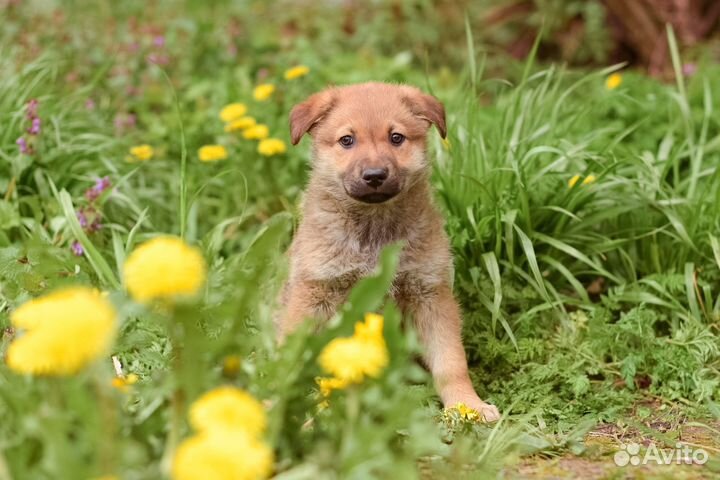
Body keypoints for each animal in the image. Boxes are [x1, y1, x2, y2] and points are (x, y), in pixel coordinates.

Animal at [280, 81, 500, 420]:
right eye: (347, 140)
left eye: (396, 138)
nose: (374, 175)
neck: (374, 231)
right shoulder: (315, 292)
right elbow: (292, 356)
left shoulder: (430, 295)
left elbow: (451, 361)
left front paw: (467, 405)